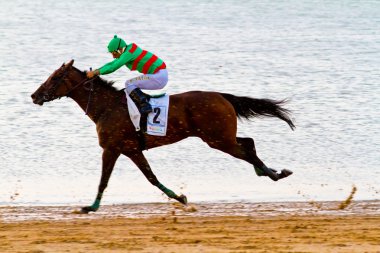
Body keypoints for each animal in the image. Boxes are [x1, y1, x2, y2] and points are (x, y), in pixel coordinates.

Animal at [31, 60, 296, 212]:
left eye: (55, 77)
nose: (34, 95)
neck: (106, 107)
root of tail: (221, 96)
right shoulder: (131, 149)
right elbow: (151, 177)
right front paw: (179, 197)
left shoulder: (112, 148)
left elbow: (104, 180)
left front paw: (91, 207)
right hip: (220, 137)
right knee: (248, 143)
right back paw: (269, 171)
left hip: (218, 139)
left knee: (246, 149)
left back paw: (274, 173)